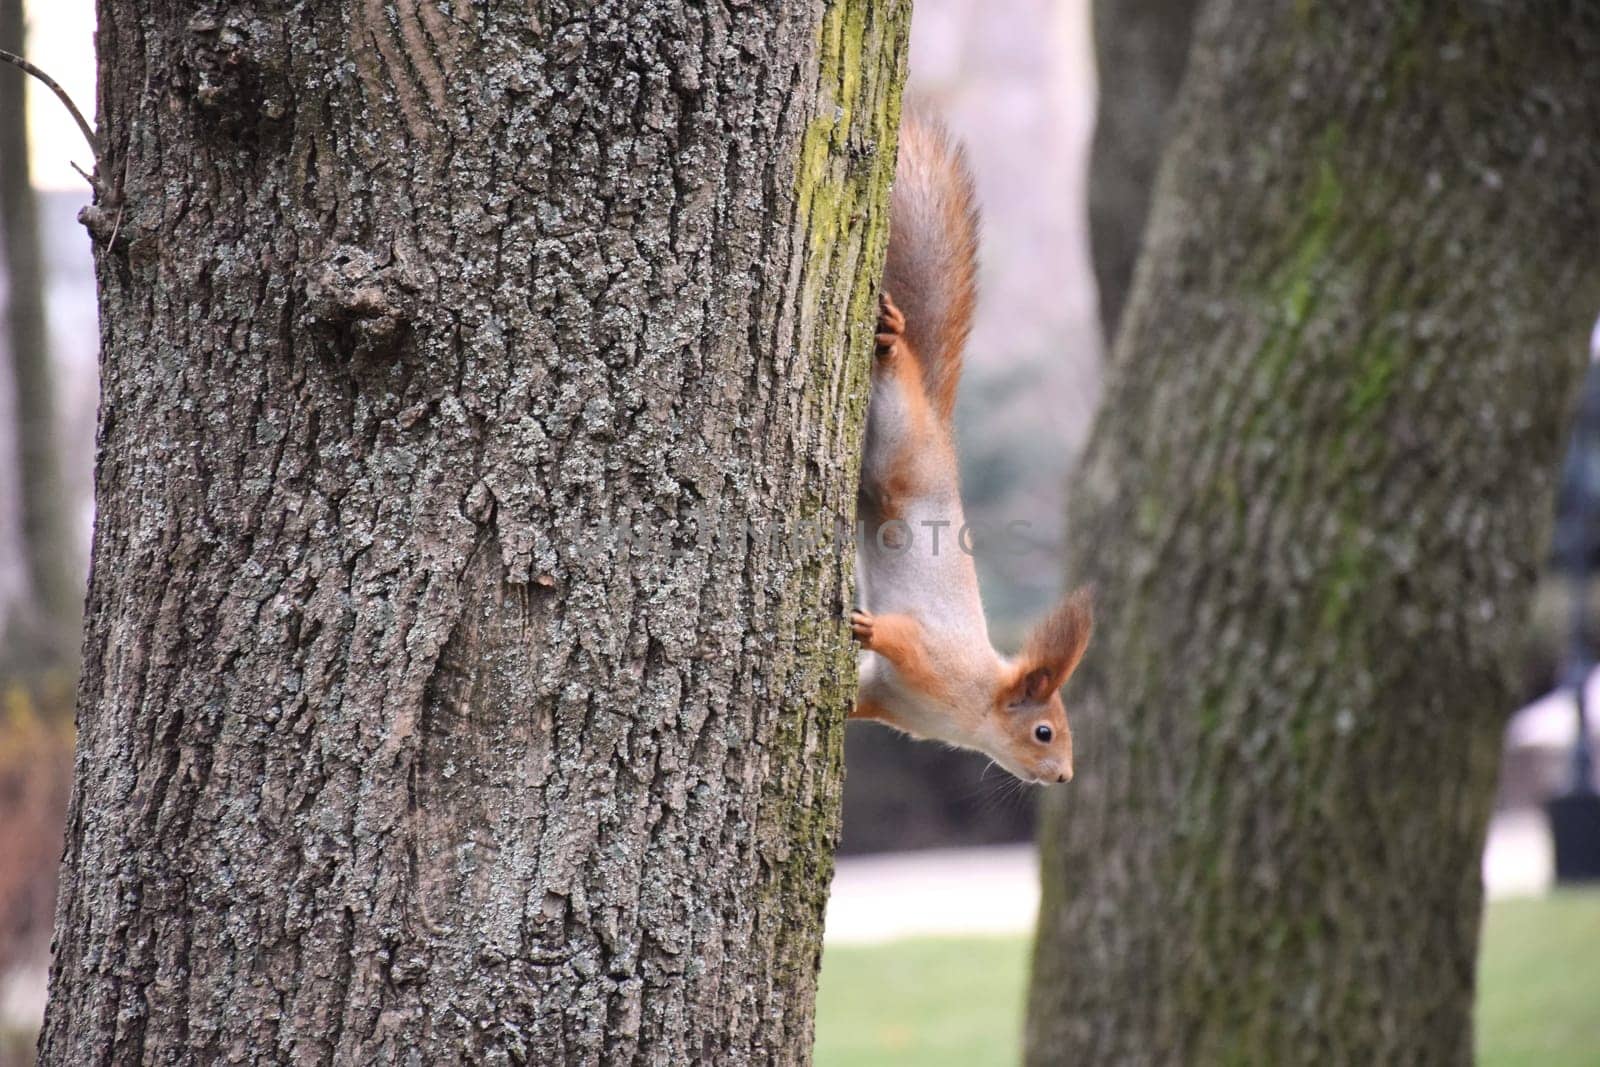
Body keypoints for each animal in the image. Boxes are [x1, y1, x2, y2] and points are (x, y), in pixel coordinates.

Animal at [844, 116, 1094, 783]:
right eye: (1043, 731)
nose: (1064, 776)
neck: (973, 709)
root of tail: (940, 428)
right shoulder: (933, 657)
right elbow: (900, 639)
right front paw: (868, 626)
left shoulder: (886, 699)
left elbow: (858, 698)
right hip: (905, 446)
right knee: (899, 375)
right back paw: (892, 340)